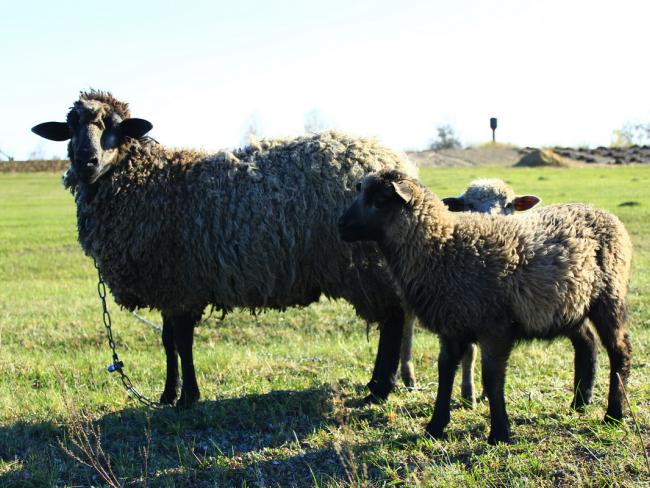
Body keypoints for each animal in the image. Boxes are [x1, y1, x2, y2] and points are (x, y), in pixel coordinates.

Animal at [31, 90, 416, 408]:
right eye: (70, 127)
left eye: (113, 126)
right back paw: (379, 384)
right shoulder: (169, 288)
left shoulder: (183, 286)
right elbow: (167, 341)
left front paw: (188, 397)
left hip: (365, 266)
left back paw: (380, 387)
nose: (86, 161)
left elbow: (182, 342)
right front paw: (167, 395)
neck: (153, 182)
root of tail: (393, 159)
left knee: (393, 320)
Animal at [336, 170, 632, 444]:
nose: (340, 226)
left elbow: (492, 378)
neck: (443, 247)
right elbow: (445, 373)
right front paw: (435, 427)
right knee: (586, 343)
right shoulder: (451, 327)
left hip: (609, 296)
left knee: (620, 351)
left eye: (380, 200)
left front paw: (499, 433)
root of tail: (602, 211)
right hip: (568, 306)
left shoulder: (494, 327)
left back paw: (614, 415)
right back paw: (580, 402)